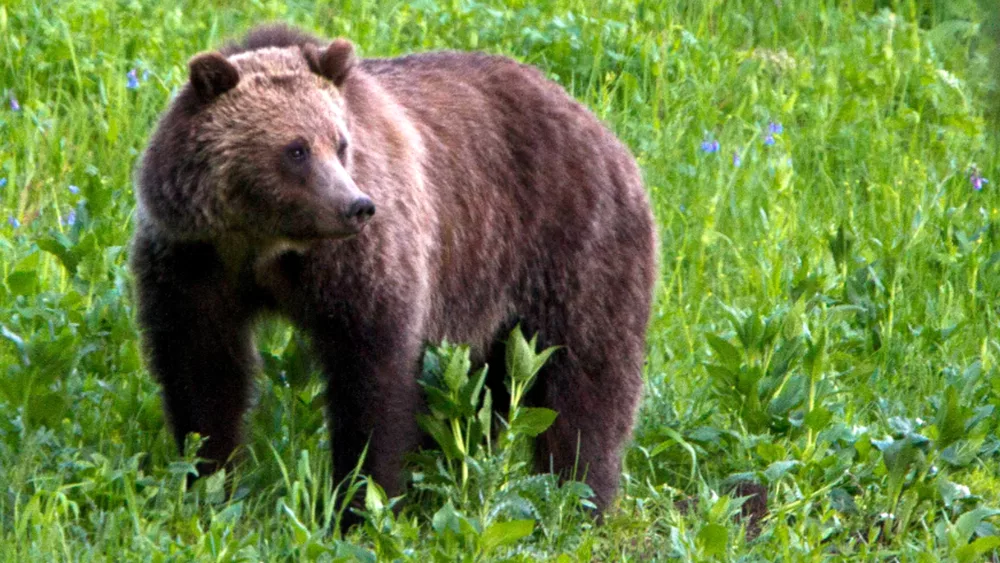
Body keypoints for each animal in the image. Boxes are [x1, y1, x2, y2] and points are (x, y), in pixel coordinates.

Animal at [130, 23, 657, 523]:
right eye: (296, 150)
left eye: (340, 143)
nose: (356, 206)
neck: (265, 244)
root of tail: (600, 126)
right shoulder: (194, 261)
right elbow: (202, 370)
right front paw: (208, 479)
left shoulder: (359, 265)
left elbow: (372, 376)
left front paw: (362, 501)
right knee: (486, 390)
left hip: (571, 245)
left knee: (586, 378)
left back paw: (580, 496)